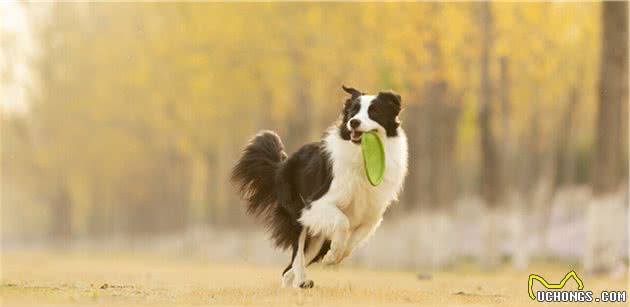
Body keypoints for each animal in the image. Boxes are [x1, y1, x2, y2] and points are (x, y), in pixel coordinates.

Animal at [232, 86, 410, 288]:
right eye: (353, 112)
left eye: (374, 112)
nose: (353, 122)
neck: (360, 157)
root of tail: (282, 165)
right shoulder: (316, 204)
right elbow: (342, 222)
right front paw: (334, 255)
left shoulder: (371, 216)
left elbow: (353, 241)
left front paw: (334, 256)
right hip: (299, 215)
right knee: (297, 255)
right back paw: (302, 279)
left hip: (317, 237)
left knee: (289, 270)